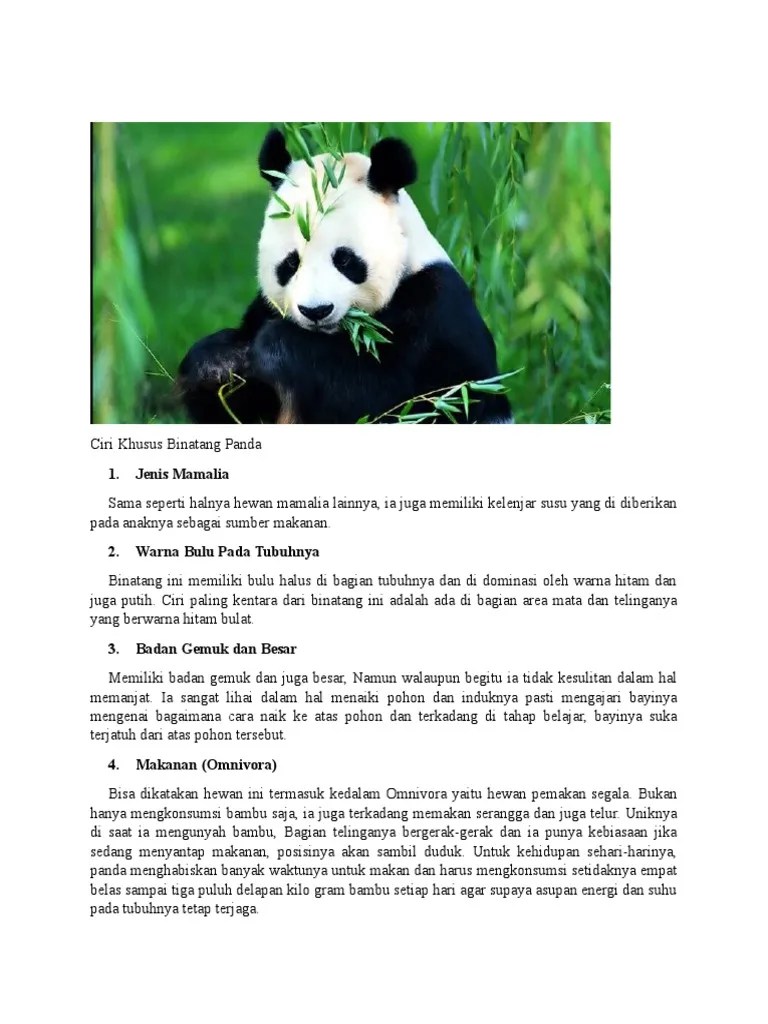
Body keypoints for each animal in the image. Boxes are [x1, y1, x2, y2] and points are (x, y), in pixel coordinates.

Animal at [178, 129, 511, 424]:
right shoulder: (264, 309)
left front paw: (278, 345)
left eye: (345, 260)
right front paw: (219, 362)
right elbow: (239, 409)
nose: (316, 311)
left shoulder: (437, 311)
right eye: (290, 263)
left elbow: (393, 397)